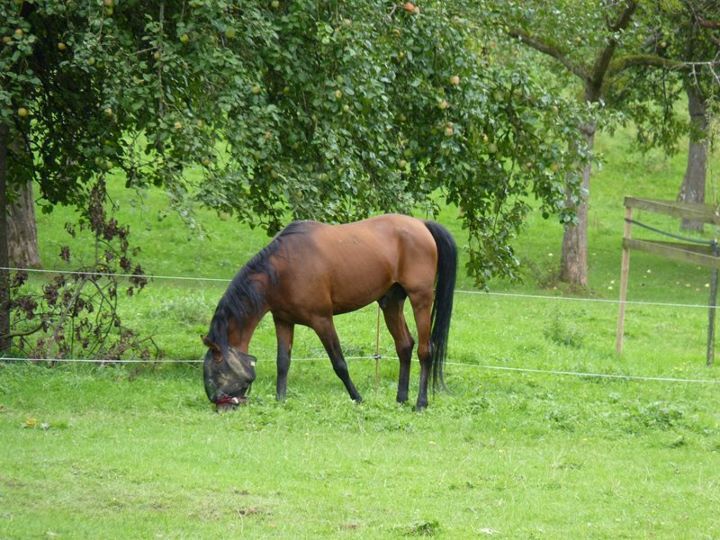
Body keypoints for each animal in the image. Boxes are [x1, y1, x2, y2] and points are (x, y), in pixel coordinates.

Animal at [202, 213, 457, 411]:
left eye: (215, 371)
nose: (219, 405)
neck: (284, 269)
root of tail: (422, 224)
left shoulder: (322, 320)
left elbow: (339, 363)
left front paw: (357, 398)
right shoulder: (283, 321)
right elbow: (282, 362)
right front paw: (280, 400)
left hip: (420, 299)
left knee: (425, 350)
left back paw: (421, 403)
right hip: (391, 303)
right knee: (404, 346)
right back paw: (401, 399)